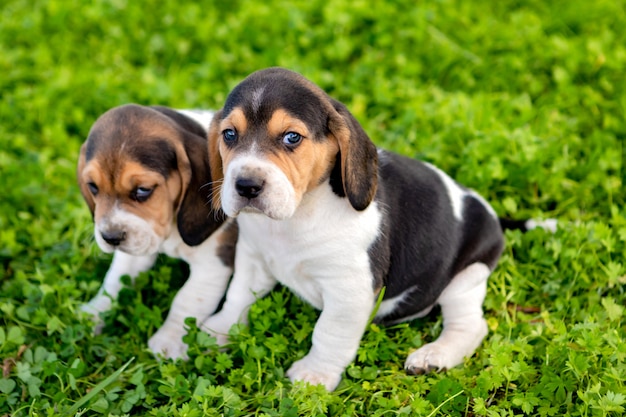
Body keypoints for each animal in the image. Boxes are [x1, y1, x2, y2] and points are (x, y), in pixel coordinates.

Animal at [76, 104, 236, 358]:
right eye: (92, 187)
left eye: (143, 190)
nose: (111, 237)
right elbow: (114, 280)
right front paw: (95, 311)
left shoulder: (214, 262)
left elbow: (187, 299)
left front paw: (169, 340)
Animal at [204, 67, 540, 390]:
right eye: (229, 134)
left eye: (291, 138)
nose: (246, 185)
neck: (298, 215)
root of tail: (490, 213)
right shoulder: (252, 257)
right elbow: (238, 295)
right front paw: (220, 328)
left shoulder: (349, 290)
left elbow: (328, 333)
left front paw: (315, 375)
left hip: (468, 275)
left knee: (470, 325)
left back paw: (434, 355)